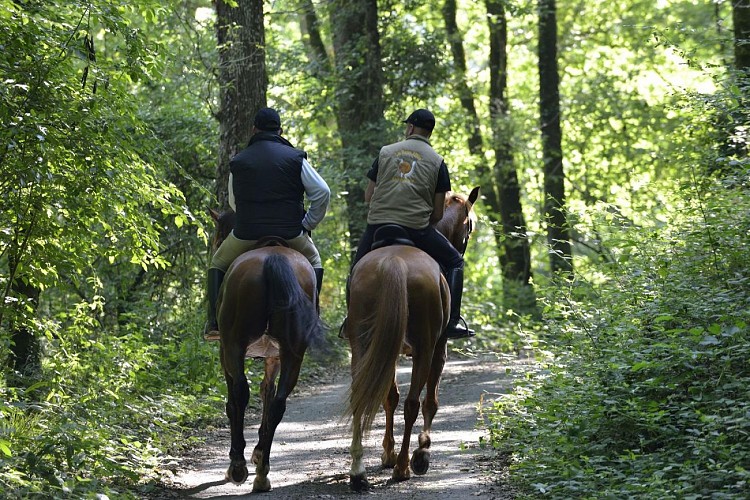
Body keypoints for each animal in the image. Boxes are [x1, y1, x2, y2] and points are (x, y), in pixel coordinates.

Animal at [209, 208, 324, 492]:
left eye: (218, 235)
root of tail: (274, 258)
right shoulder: (274, 355)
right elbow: (267, 392)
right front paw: (259, 452)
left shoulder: (225, 351)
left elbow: (234, 400)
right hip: (293, 351)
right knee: (279, 402)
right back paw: (262, 472)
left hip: (234, 344)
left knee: (241, 393)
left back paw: (238, 467)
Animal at [346, 186, 482, 490]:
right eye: (469, 225)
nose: (463, 246)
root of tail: (394, 262)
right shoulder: (438, 349)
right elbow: (430, 401)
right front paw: (422, 451)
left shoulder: (388, 349)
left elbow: (389, 397)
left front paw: (387, 452)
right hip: (424, 347)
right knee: (413, 403)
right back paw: (405, 466)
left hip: (363, 344)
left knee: (363, 394)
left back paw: (359, 471)